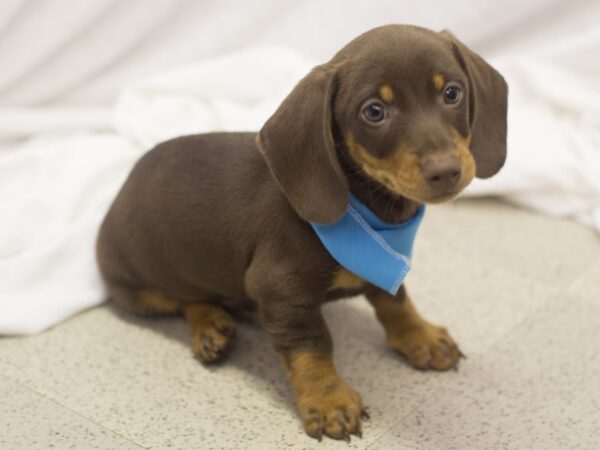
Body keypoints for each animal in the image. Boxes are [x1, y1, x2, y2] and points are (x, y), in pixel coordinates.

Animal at [97, 23, 506, 440]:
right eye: (374, 111)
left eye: (451, 92)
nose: (446, 171)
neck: (366, 209)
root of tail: (123, 186)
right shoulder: (282, 293)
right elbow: (312, 347)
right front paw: (329, 401)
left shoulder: (385, 266)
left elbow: (396, 299)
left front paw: (419, 335)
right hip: (136, 289)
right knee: (183, 298)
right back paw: (209, 324)